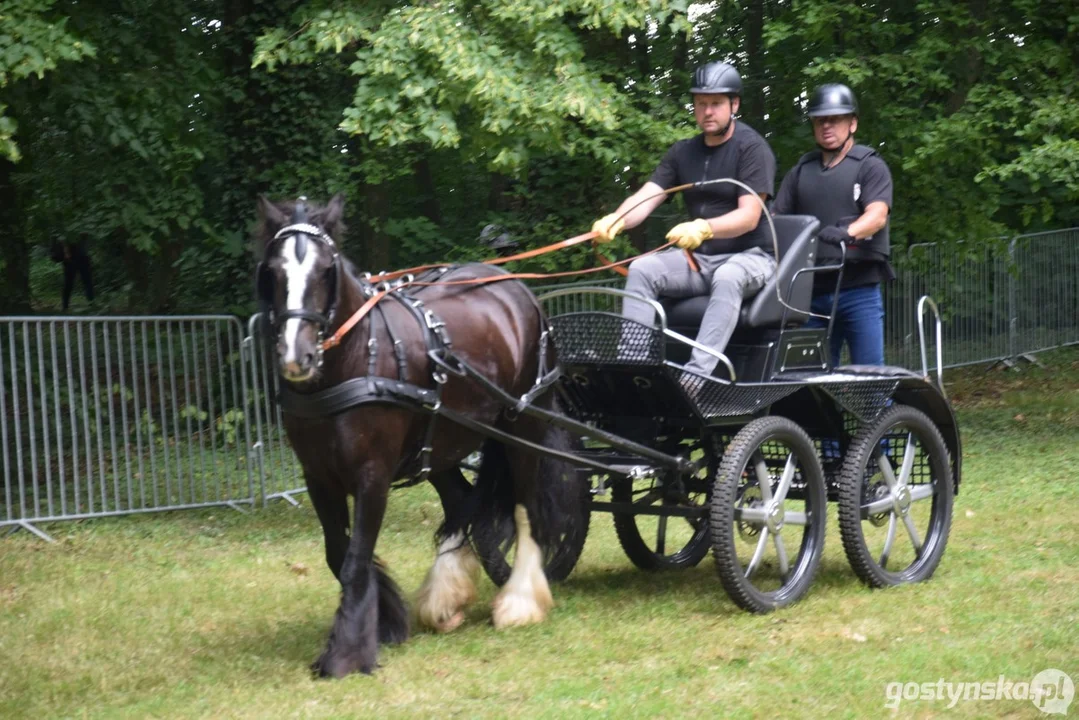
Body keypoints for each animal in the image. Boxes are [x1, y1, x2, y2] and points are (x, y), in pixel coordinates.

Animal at [253, 194, 582, 677]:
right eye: (273, 272)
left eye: (325, 270)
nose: (298, 357)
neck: (357, 359)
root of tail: (516, 288)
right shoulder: (317, 477)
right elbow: (339, 553)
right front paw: (385, 620)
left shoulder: (372, 475)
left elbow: (354, 560)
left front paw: (347, 651)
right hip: (442, 441)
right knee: (462, 503)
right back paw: (446, 598)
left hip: (522, 426)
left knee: (527, 509)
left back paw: (520, 601)